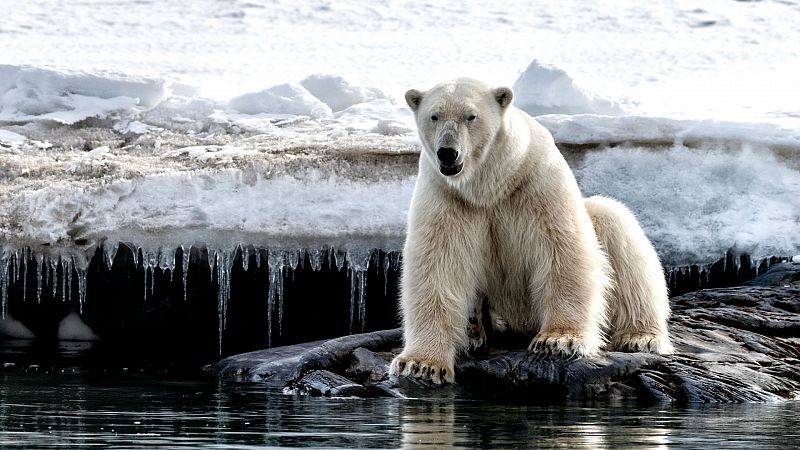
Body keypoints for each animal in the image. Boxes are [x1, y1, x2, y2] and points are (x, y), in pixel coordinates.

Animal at [390, 79, 672, 384]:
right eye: (434, 116)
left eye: (471, 116)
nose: (448, 152)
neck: (489, 186)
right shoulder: (448, 196)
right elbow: (438, 266)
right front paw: (420, 364)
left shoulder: (536, 183)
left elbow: (563, 251)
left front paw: (559, 340)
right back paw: (473, 331)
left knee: (618, 231)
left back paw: (640, 336)